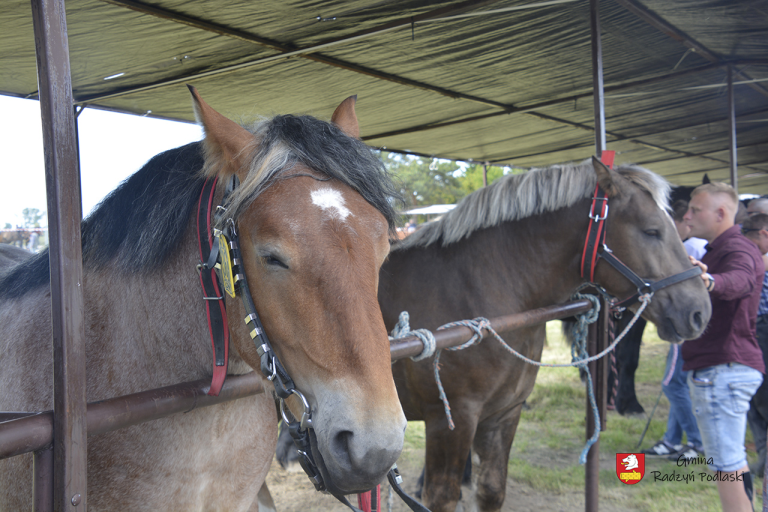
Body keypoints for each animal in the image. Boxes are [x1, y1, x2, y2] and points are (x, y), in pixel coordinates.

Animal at [380, 158, 712, 510]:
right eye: (652, 230)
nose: (699, 311)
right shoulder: (451, 420)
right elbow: (442, 497)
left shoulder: (504, 414)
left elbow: (491, 490)